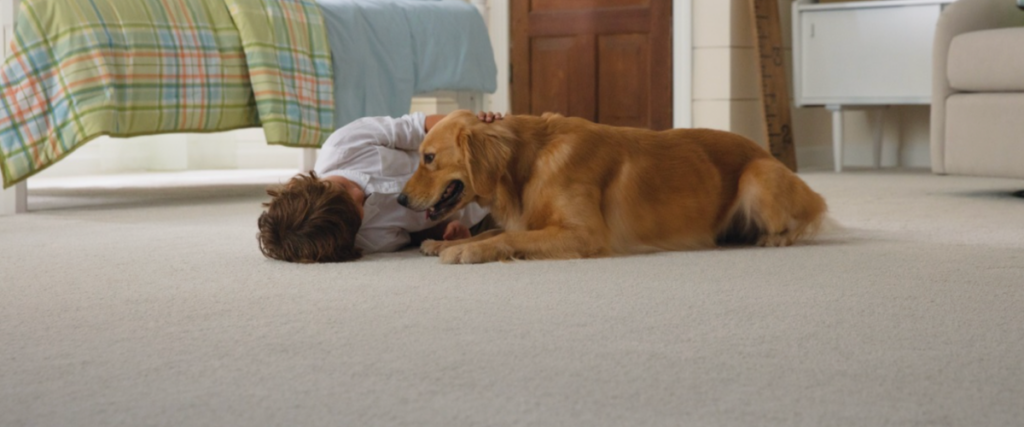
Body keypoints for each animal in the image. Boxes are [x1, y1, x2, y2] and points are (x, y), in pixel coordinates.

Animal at [395, 109, 827, 262]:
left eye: (428, 157)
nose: (399, 198)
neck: (528, 165)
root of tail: (766, 151)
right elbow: (496, 230)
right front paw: (444, 243)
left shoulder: (585, 234)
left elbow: (507, 237)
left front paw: (466, 250)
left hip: (758, 178)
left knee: (813, 216)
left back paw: (774, 238)